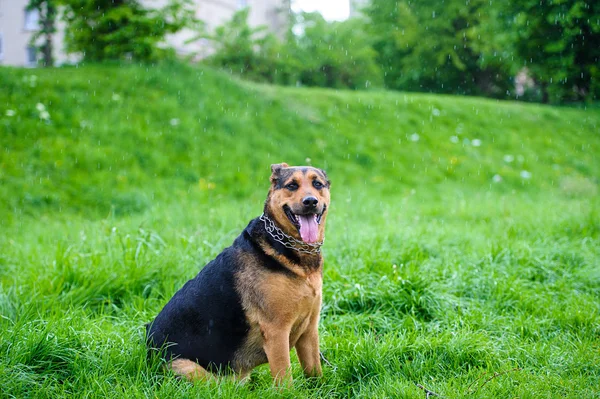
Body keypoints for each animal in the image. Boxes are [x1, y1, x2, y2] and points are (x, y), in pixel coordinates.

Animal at [147, 162, 330, 384]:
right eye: (292, 185)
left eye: (317, 184)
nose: (310, 201)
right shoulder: (276, 332)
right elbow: (285, 379)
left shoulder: (309, 329)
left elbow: (314, 371)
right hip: (189, 369)